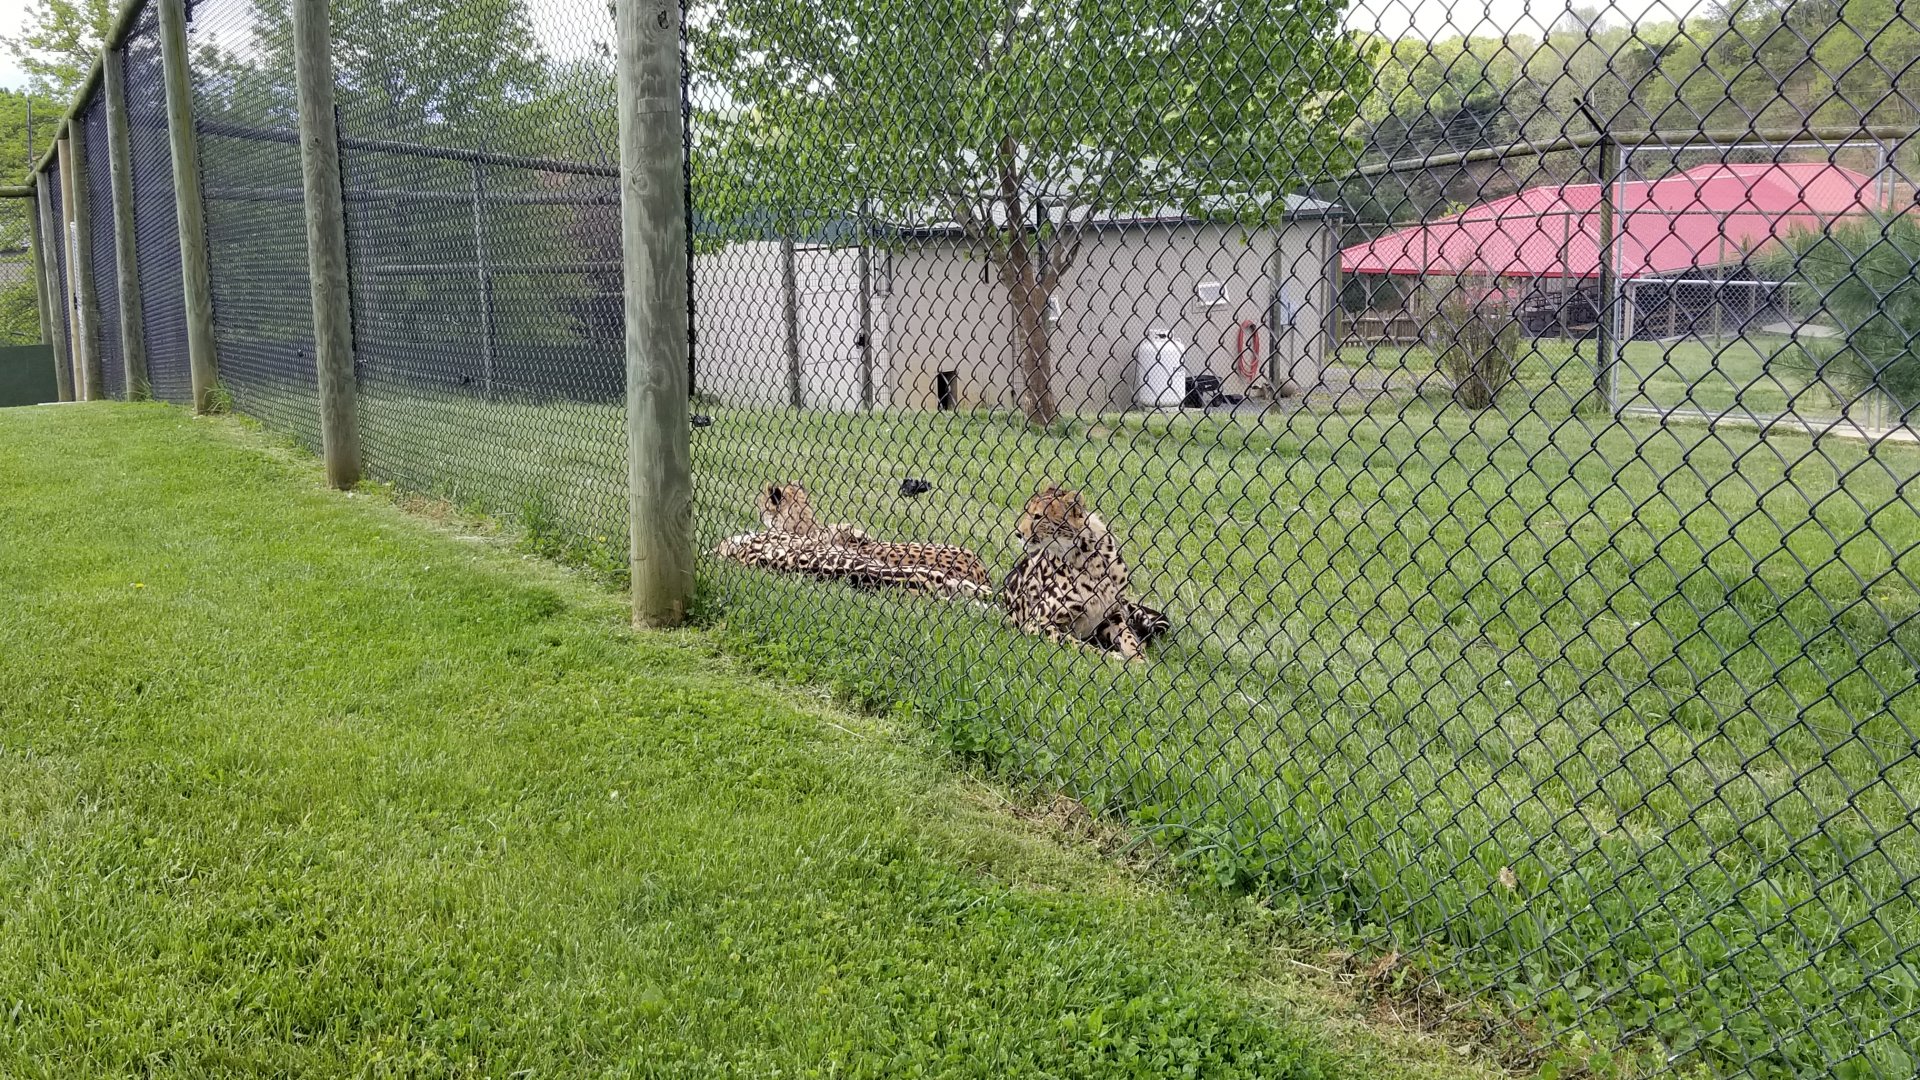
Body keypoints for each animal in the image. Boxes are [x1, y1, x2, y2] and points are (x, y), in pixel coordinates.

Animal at [1001, 484, 1169, 660]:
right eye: (1026, 512)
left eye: (1038, 516)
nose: (1018, 533)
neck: (1089, 559)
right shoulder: (1037, 623)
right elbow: (1078, 644)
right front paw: (1111, 657)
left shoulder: (1112, 615)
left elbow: (1127, 637)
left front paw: (1137, 658)